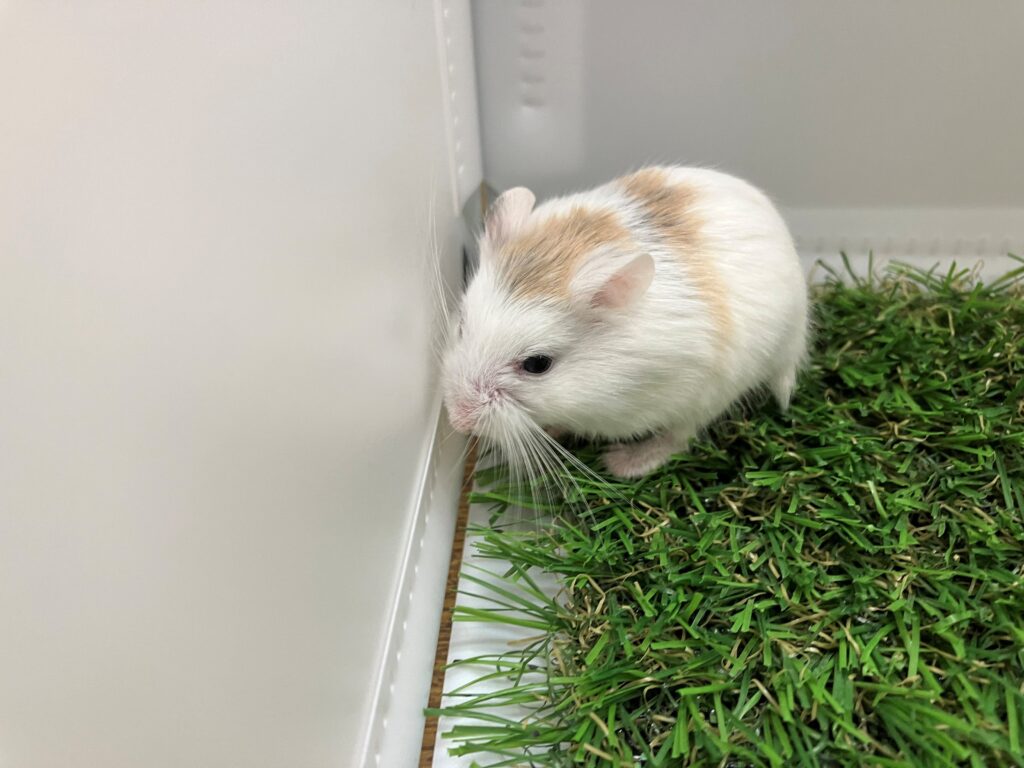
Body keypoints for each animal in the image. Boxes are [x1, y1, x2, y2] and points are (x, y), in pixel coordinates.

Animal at [441, 165, 809, 479]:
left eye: (537, 364)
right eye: (461, 327)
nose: (457, 421)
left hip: (711, 395)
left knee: (679, 438)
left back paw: (622, 463)